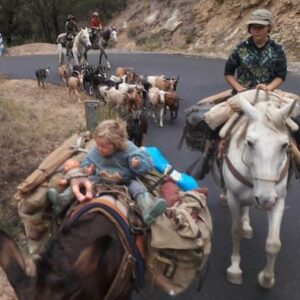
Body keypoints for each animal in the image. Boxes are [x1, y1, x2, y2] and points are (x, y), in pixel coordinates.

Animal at [221, 91, 298, 288]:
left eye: (285, 144)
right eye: (249, 142)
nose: (265, 199)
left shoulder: (279, 201)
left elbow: (273, 243)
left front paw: (266, 279)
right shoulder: (234, 197)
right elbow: (235, 231)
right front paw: (234, 269)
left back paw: (247, 224)